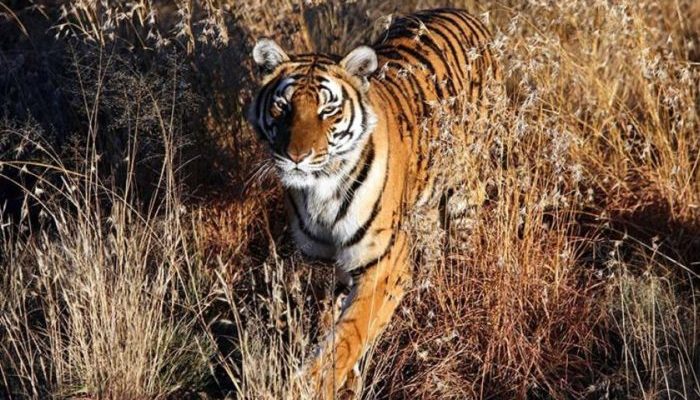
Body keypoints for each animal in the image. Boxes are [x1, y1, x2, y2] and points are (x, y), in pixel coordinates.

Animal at [249, 7, 499, 398]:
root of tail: (462, 12)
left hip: (464, 189)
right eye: (282, 107)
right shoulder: (323, 265)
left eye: (328, 111)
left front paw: (312, 385)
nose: (296, 157)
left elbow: (348, 334)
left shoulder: (384, 264)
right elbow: (331, 323)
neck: (320, 192)